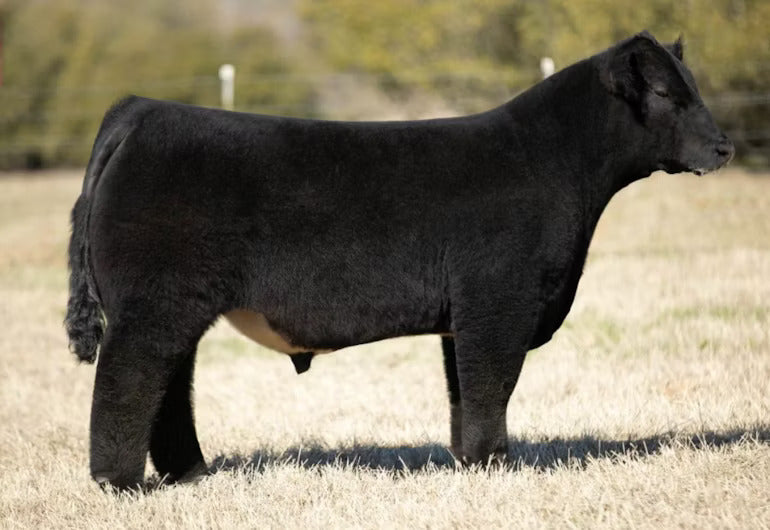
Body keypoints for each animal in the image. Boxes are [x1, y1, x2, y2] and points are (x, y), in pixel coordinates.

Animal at [65, 31, 733, 490]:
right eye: (667, 94)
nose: (725, 145)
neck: (556, 164)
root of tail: (140, 110)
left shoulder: (463, 315)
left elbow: (463, 388)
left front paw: (470, 462)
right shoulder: (499, 301)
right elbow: (492, 384)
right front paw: (496, 464)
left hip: (175, 308)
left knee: (168, 387)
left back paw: (191, 474)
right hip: (152, 305)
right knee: (126, 381)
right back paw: (119, 484)